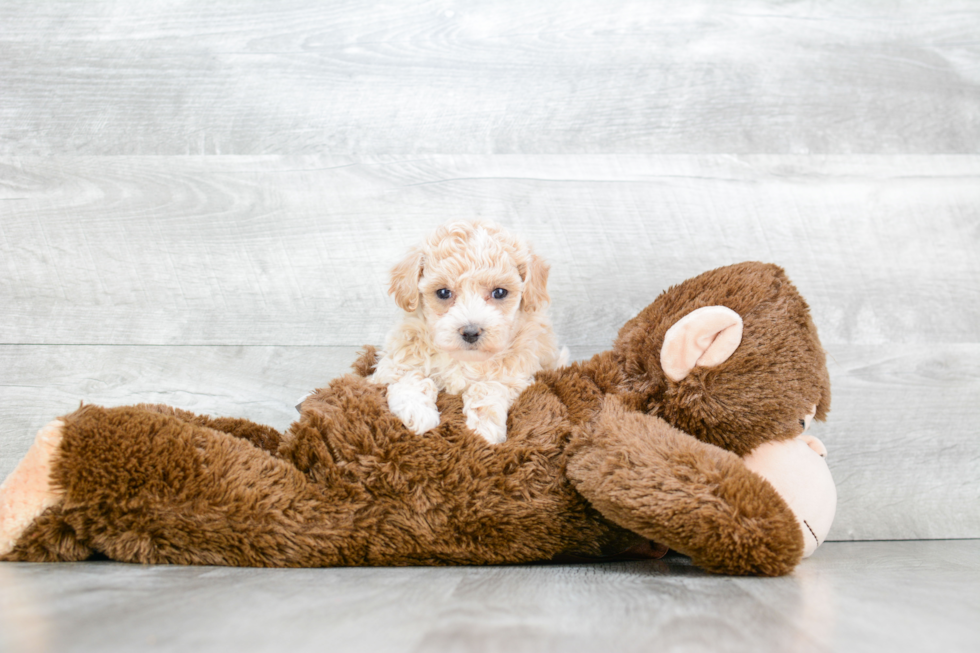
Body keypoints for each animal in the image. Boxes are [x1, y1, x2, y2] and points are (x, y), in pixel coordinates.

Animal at [368, 220, 568, 444]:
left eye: (500, 292)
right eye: (443, 292)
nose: (471, 332)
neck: (463, 359)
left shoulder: (517, 374)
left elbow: (488, 387)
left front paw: (484, 429)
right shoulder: (394, 362)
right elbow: (411, 378)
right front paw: (418, 412)